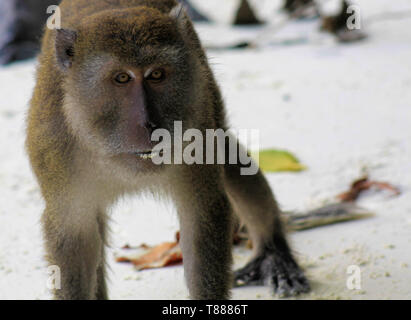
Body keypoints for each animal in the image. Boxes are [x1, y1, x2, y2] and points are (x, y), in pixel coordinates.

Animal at [26, 0, 308, 300]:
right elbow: (74, 239)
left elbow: (202, 215)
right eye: (122, 78)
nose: (150, 123)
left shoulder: (198, 121)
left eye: (157, 75)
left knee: (230, 161)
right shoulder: (55, 151)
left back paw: (273, 253)